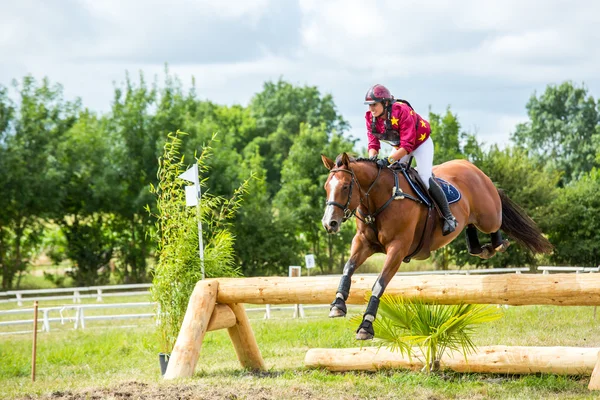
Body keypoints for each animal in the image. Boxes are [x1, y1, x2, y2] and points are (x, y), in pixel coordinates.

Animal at [322, 152, 552, 340]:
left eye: (345, 187)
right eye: (326, 187)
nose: (329, 223)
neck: (382, 197)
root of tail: (474, 168)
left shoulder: (398, 248)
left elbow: (379, 283)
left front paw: (366, 326)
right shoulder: (363, 242)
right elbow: (348, 268)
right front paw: (337, 305)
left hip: (487, 216)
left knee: (496, 221)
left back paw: (498, 244)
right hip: (471, 217)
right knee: (472, 235)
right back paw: (483, 249)